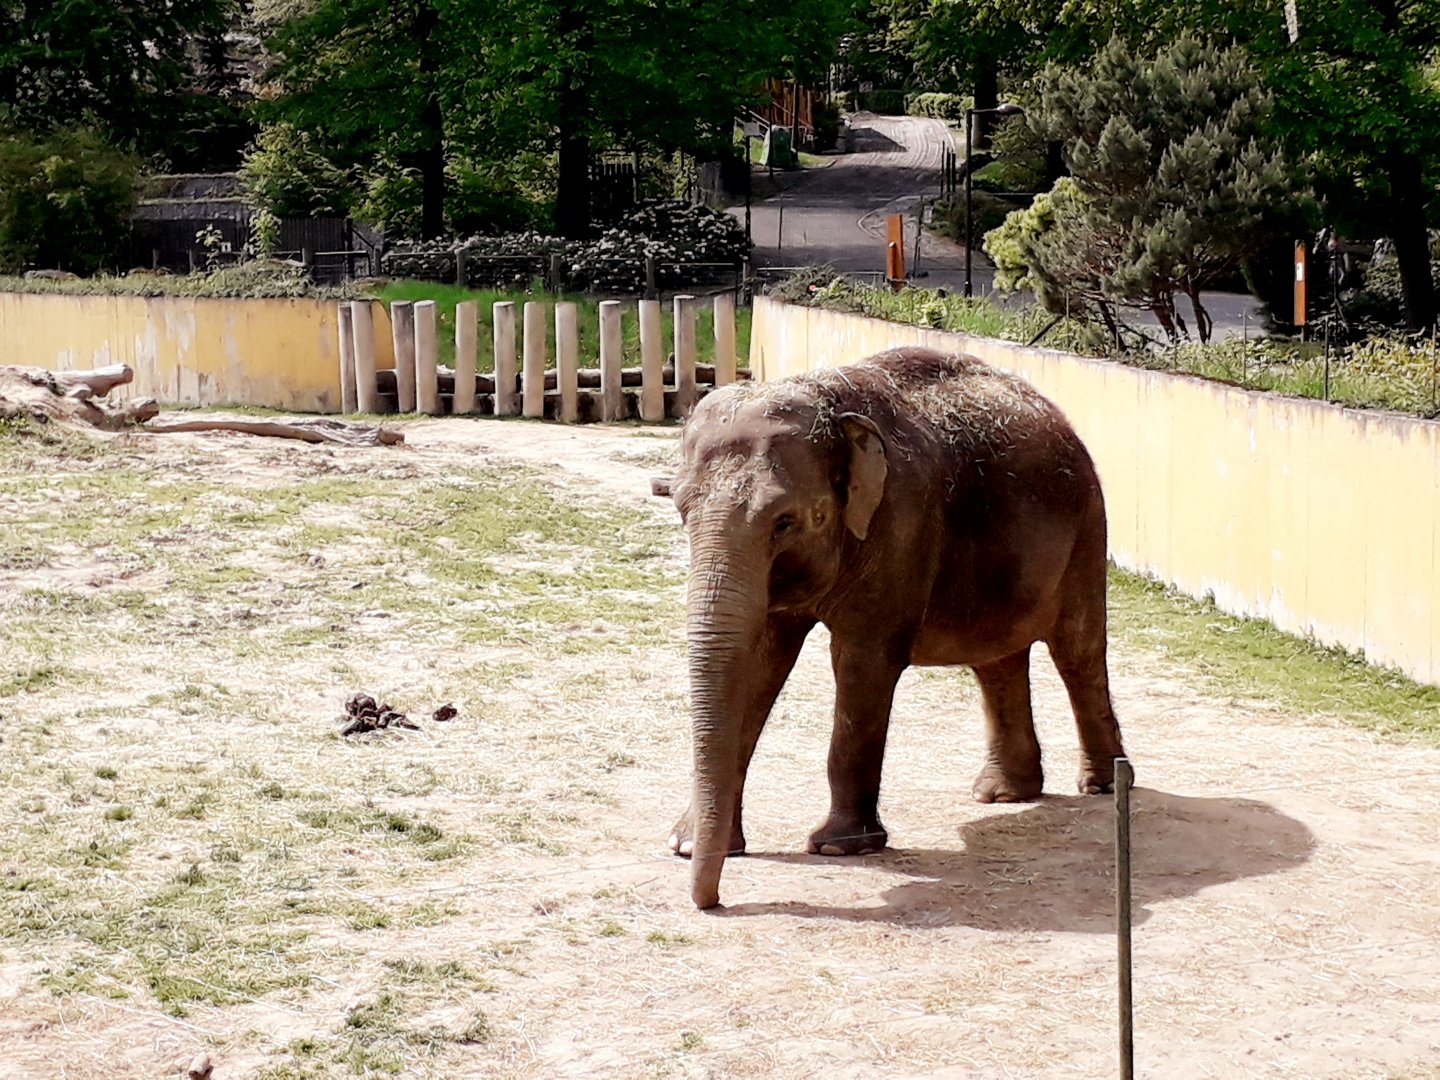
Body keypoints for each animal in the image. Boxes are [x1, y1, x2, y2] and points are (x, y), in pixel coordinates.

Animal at [661, 346, 1127, 910]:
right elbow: (760, 661)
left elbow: (862, 661)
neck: (826, 398)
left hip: (1089, 526)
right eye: (681, 511)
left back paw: (1099, 786)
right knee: (996, 660)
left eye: (785, 522)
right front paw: (687, 845)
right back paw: (1002, 794)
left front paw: (839, 848)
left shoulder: (902, 521)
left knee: (1078, 650)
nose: (712, 903)